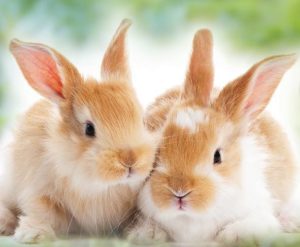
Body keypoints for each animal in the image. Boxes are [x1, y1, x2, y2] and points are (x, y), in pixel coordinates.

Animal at [0, 19, 157, 243]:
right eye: (89, 129)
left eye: (142, 120)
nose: (130, 160)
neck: (100, 186)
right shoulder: (39, 191)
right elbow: (42, 212)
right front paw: (34, 233)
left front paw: (149, 233)